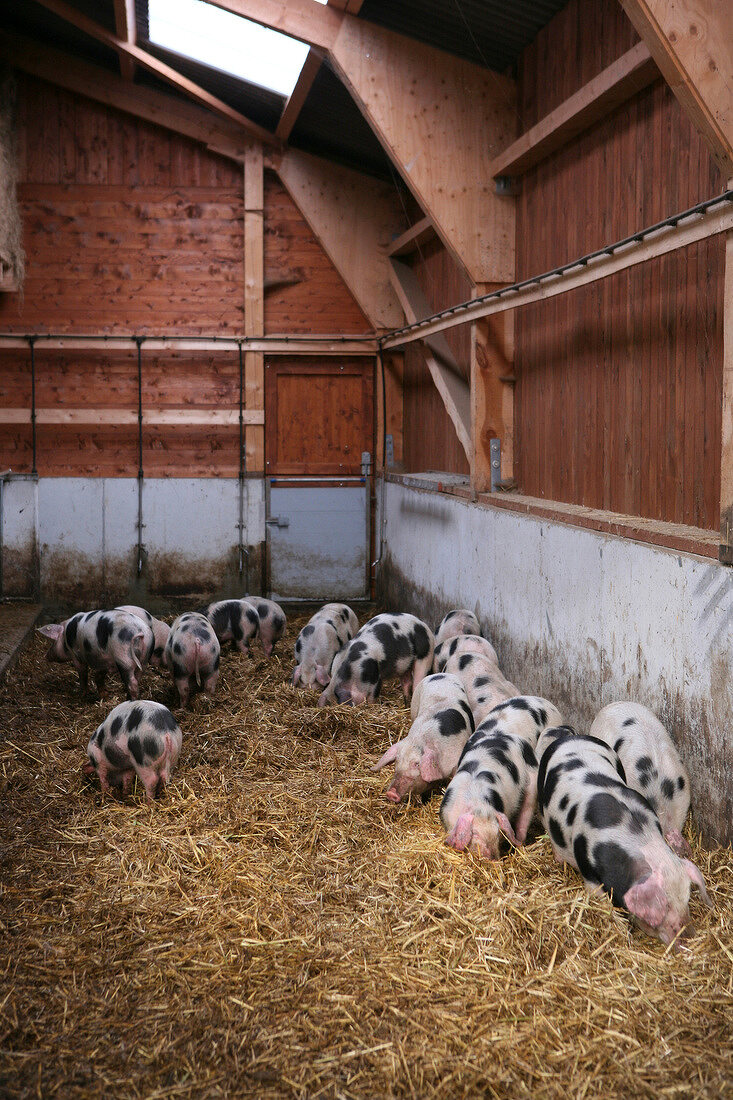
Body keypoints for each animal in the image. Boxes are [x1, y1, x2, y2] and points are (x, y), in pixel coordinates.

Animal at [440, 695, 559, 858]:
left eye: (498, 832)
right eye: (474, 833)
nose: (491, 858)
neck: (477, 801)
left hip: (532, 782)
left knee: (526, 811)